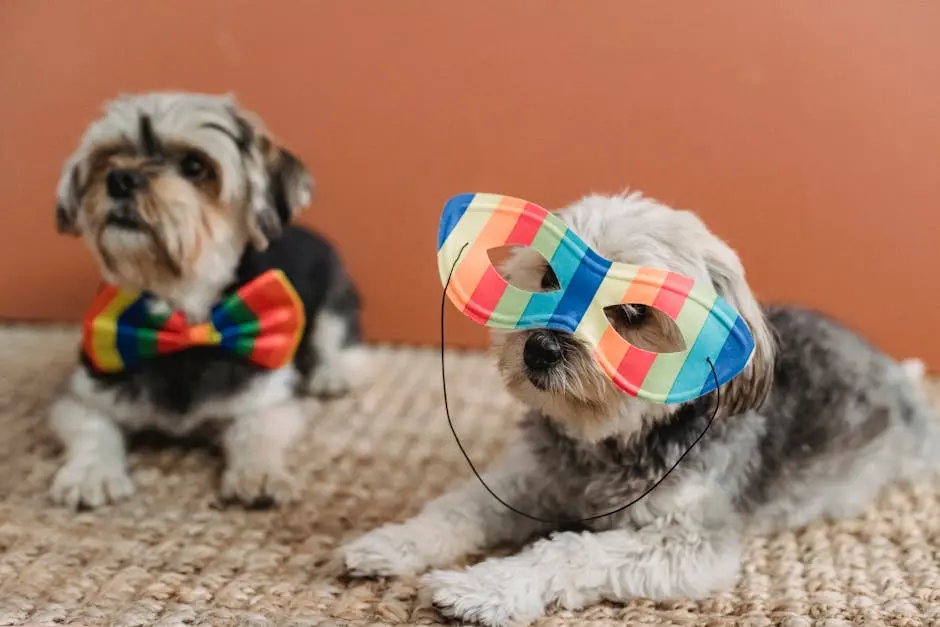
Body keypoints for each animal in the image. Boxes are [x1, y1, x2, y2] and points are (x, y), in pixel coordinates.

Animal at [49, 92, 368, 510]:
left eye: (194, 165)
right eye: (110, 155)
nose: (119, 179)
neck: (181, 316)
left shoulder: (268, 398)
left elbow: (256, 432)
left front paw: (259, 474)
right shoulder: (84, 393)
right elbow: (93, 429)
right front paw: (91, 475)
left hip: (334, 297)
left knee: (336, 341)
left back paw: (333, 375)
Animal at [340, 191, 940, 627]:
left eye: (631, 313)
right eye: (548, 278)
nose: (540, 347)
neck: (607, 443)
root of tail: (900, 377)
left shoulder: (688, 543)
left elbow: (570, 551)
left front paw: (481, 587)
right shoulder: (527, 479)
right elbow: (457, 508)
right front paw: (387, 543)